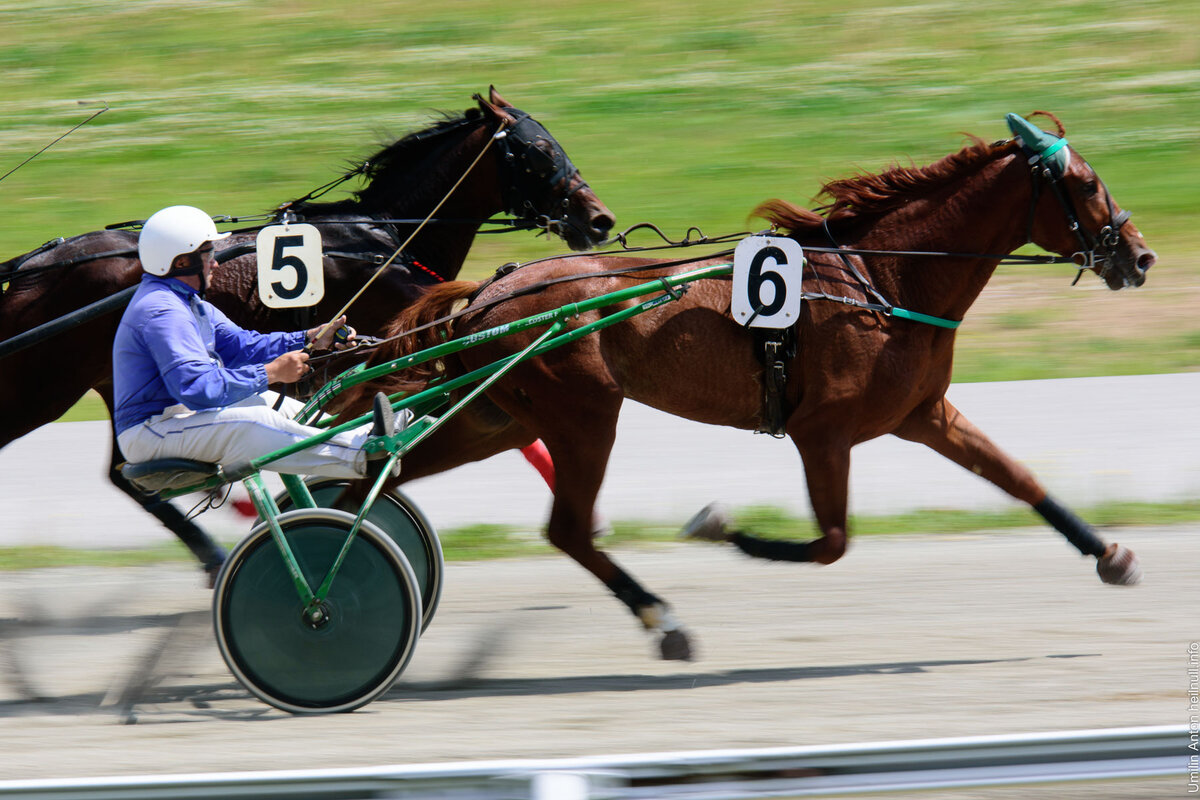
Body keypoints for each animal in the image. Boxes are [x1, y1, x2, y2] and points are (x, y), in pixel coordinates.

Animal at [0, 86, 614, 575]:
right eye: (538, 150)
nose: (599, 218)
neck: (385, 238)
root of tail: (30, 267)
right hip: (39, 388)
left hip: (103, 382)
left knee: (123, 473)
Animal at [350, 112, 1152, 662]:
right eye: (1086, 184)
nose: (1139, 256)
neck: (884, 279)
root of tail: (489, 290)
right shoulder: (823, 432)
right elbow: (832, 543)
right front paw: (716, 526)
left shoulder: (924, 413)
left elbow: (1017, 477)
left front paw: (1110, 555)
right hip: (583, 415)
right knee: (568, 529)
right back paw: (664, 621)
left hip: (499, 416)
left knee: (379, 475)